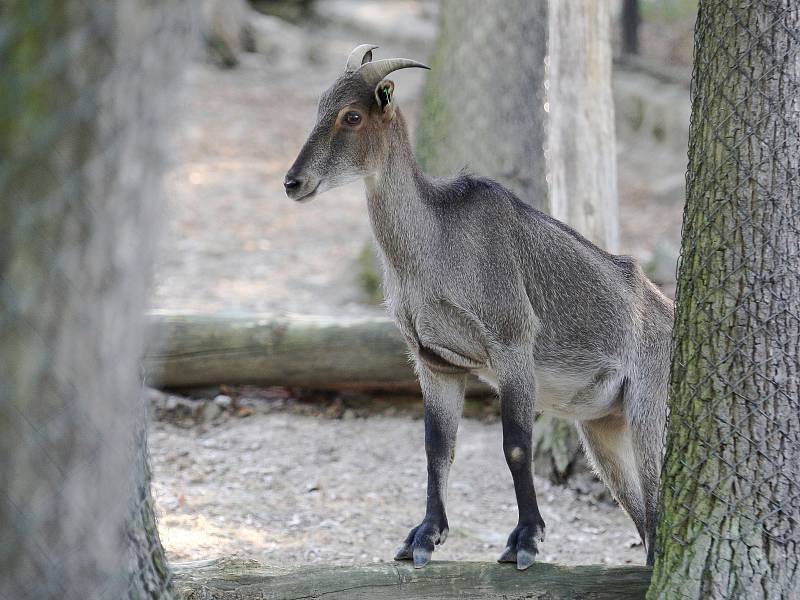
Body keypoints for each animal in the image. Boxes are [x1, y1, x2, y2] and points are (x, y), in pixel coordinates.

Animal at [284, 44, 672, 568]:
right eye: (320, 107)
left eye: (352, 115)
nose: (293, 182)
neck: (435, 247)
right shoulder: (434, 361)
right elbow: (437, 447)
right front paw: (423, 537)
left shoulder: (512, 344)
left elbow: (515, 446)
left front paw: (525, 540)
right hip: (601, 427)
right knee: (640, 514)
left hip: (648, 407)